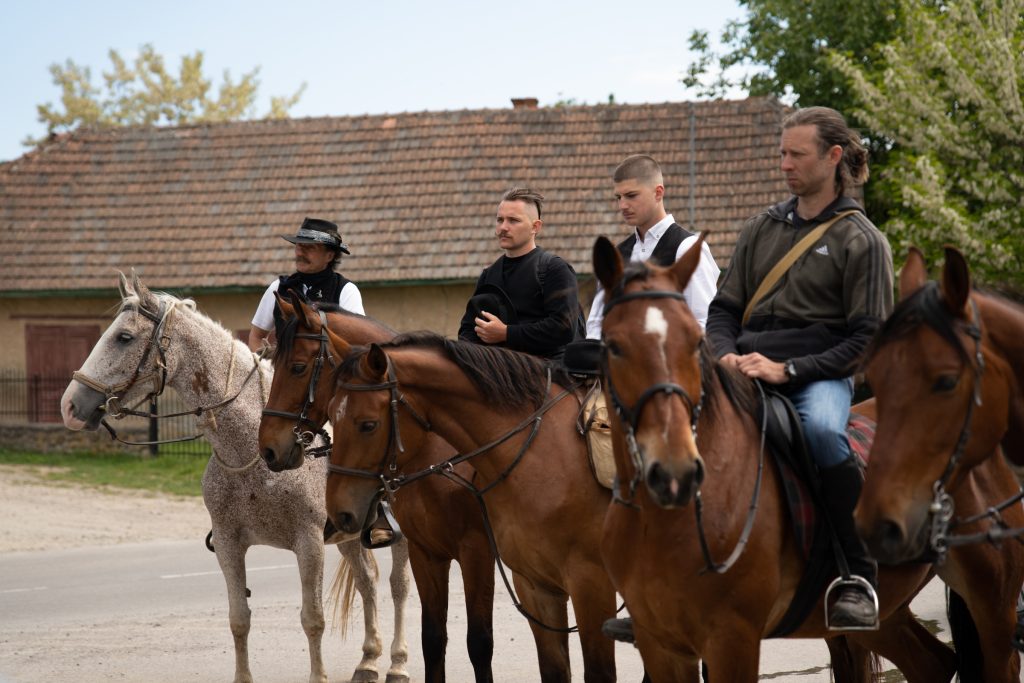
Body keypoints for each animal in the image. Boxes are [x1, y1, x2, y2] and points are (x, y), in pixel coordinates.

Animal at [59, 272, 409, 683]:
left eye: (124, 337)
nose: (70, 406)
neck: (253, 452)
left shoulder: (308, 544)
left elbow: (313, 619)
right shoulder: (229, 544)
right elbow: (239, 619)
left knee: (398, 586)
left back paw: (398, 664)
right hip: (349, 536)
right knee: (367, 581)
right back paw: (368, 661)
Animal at [256, 296, 495, 683]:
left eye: (297, 367)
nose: (268, 449)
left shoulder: (477, 550)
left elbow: (477, 639)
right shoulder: (427, 548)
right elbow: (433, 634)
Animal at [593, 232, 958, 679]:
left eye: (695, 342)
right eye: (613, 346)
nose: (676, 473)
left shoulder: (732, 640)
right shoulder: (659, 645)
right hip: (885, 613)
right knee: (933, 662)